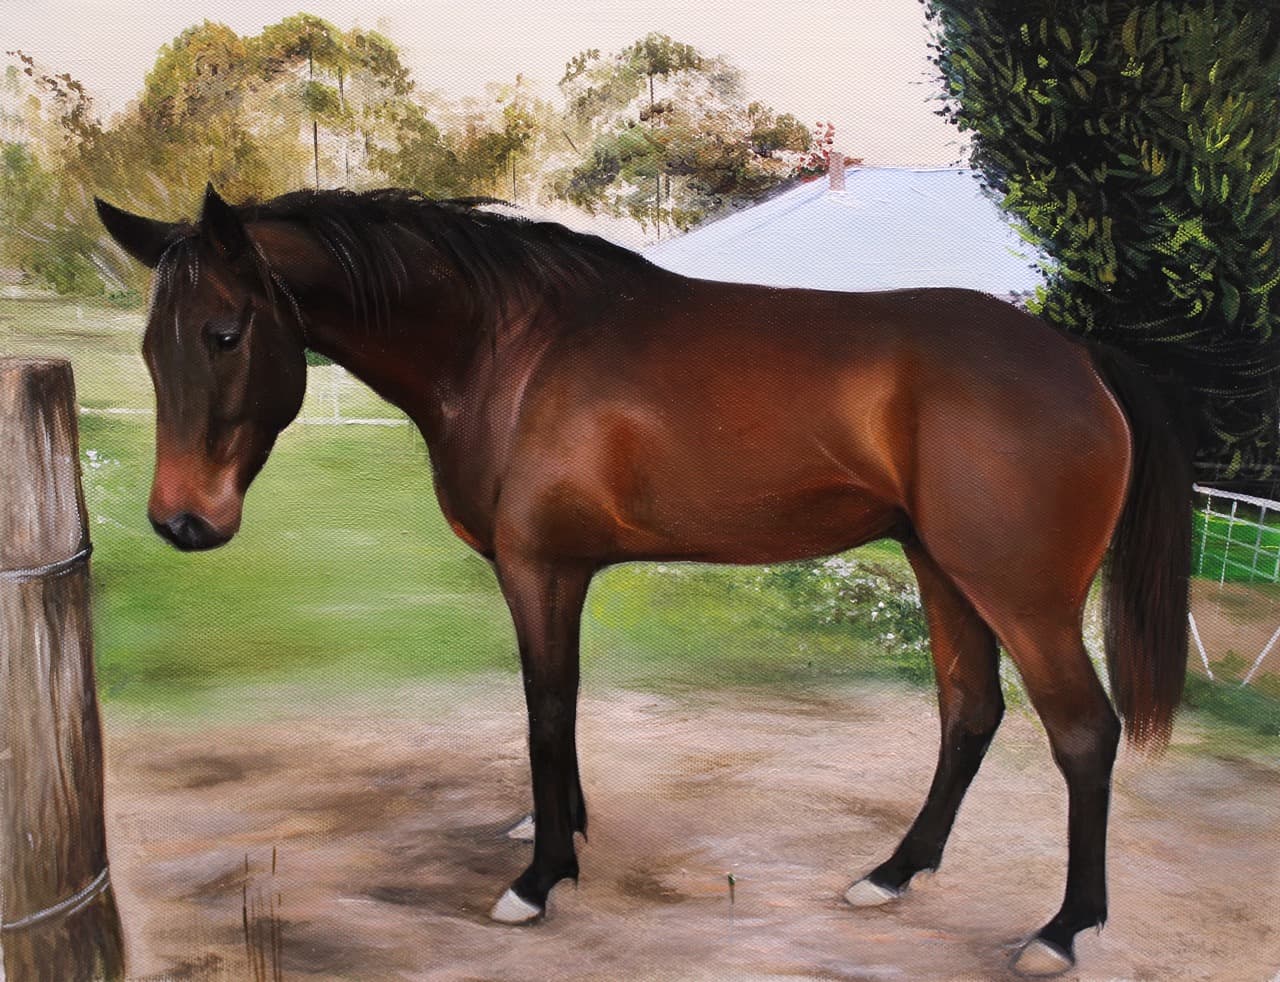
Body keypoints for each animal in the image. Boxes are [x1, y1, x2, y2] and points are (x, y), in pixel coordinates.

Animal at [95, 183, 1193, 977]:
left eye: (225, 333)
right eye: (148, 343)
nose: (183, 521)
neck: (511, 349)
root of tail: (1078, 359)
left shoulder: (538, 567)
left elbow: (542, 707)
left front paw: (539, 879)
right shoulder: (563, 571)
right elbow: (564, 701)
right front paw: (563, 826)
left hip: (1020, 593)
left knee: (1081, 733)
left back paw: (1060, 930)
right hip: (942, 572)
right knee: (969, 713)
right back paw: (891, 874)